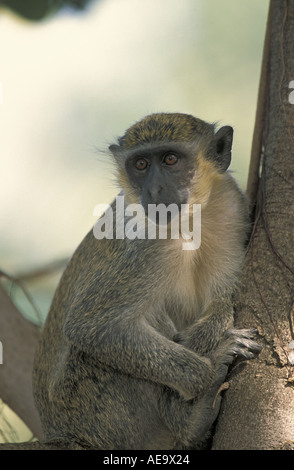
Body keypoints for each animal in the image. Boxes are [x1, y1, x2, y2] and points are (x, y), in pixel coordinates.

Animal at [32, 112, 260, 450]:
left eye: (170, 159)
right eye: (140, 165)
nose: (153, 192)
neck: (188, 222)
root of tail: (61, 434)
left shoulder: (231, 209)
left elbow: (221, 299)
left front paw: (209, 333)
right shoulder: (148, 246)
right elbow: (92, 327)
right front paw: (206, 374)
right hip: (89, 409)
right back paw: (189, 421)